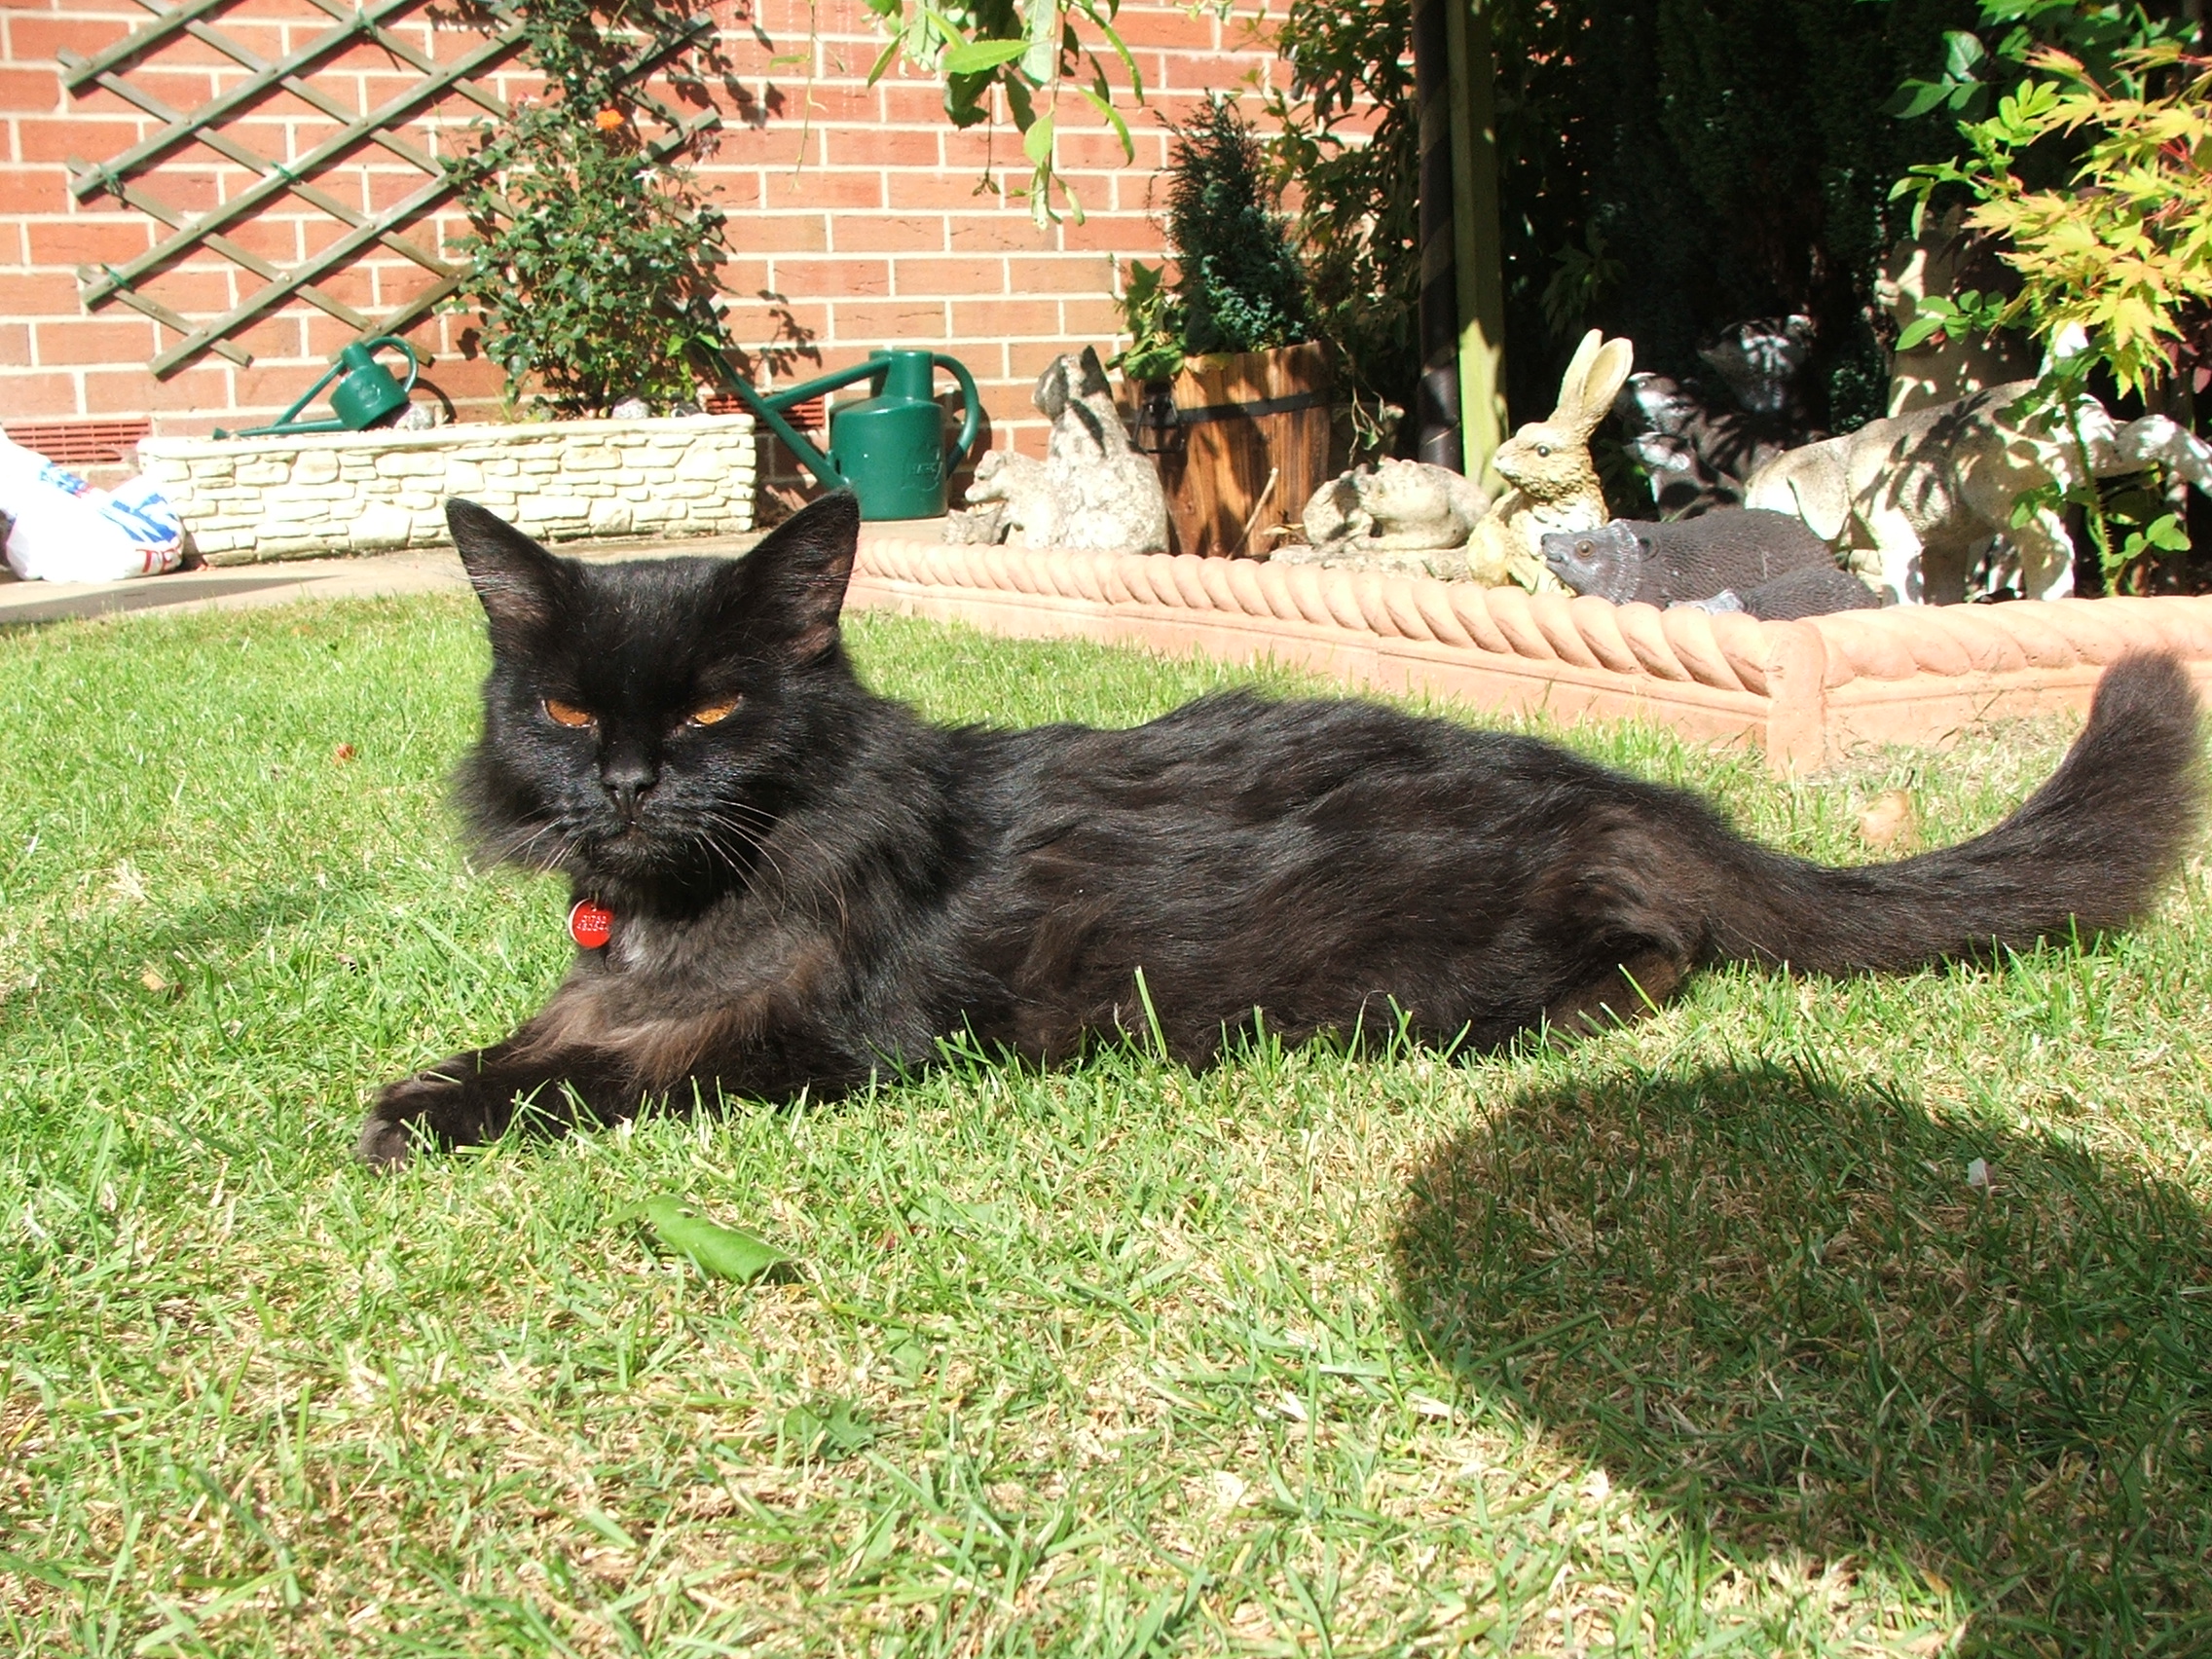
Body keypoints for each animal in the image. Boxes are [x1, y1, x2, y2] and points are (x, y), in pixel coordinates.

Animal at [358, 492, 2204, 1165]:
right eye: (568, 714)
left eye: (713, 715)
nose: (624, 786)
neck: (693, 897)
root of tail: (1625, 788)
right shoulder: (636, 977)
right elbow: (560, 1023)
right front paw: (443, 1073)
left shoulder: (824, 1032)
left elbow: (607, 1070)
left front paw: (428, 1115)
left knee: (1657, 951)